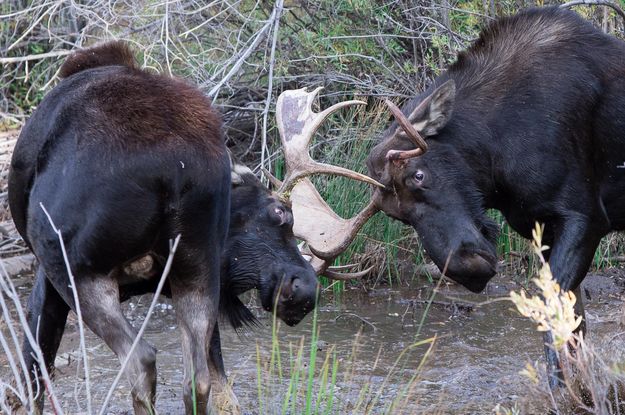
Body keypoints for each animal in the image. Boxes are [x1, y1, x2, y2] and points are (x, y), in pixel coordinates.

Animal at [366, 6, 624, 388]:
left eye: (419, 175)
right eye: (396, 215)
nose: (467, 269)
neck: (496, 155)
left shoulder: (585, 217)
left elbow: (554, 325)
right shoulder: (539, 227)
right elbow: (574, 334)